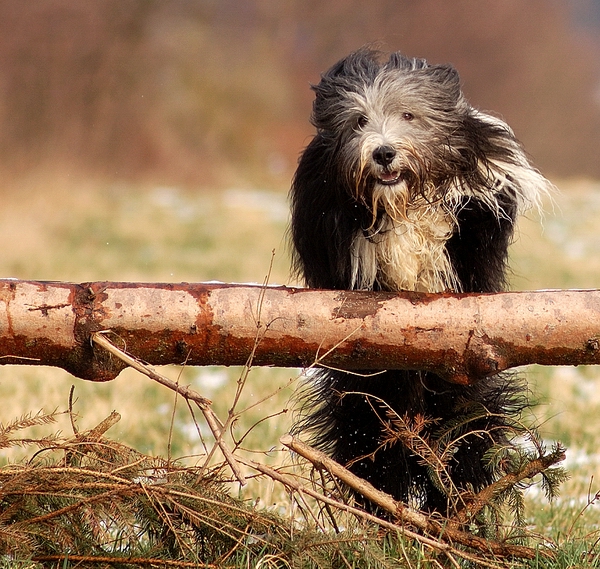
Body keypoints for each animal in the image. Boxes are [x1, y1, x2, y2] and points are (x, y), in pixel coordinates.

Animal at [288, 47, 552, 510]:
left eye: (408, 114)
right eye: (359, 121)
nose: (383, 153)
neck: (402, 199)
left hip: (461, 394)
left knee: (466, 437)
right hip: (367, 400)